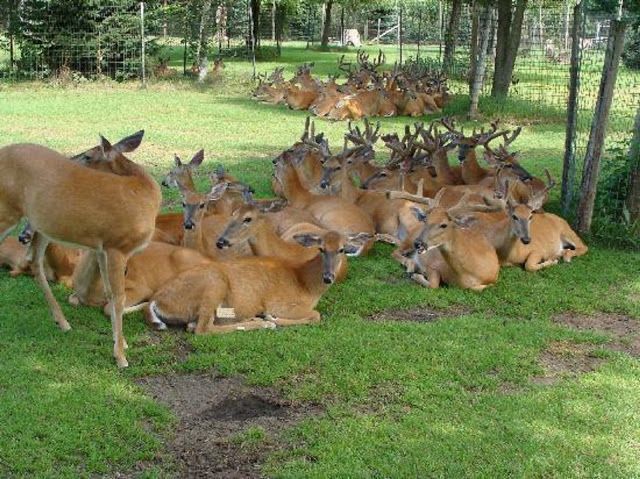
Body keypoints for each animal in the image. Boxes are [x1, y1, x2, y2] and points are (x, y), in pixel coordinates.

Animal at [0, 131, 160, 368]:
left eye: (88, 156)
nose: (70, 159)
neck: (142, 194)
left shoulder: (103, 248)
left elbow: (110, 294)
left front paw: (121, 343)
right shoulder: (117, 247)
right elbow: (119, 297)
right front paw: (121, 357)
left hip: (44, 226)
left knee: (35, 263)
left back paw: (63, 322)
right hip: (7, 210)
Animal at [142, 231, 368, 336]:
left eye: (341, 249)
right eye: (321, 249)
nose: (328, 277)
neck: (307, 283)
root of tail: (155, 300)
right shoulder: (285, 303)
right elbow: (316, 315)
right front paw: (272, 318)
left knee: (195, 325)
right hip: (213, 285)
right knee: (203, 329)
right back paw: (262, 323)